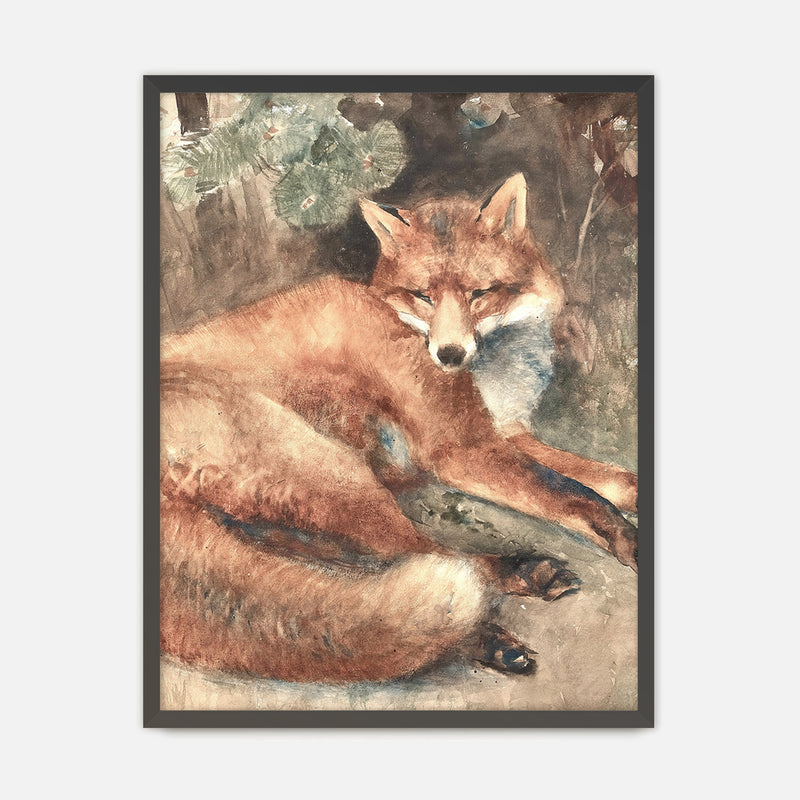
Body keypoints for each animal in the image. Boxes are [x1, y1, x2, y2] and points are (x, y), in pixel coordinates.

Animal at [160, 173, 638, 683]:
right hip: (334, 470)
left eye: (479, 293)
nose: (448, 354)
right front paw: (629, 541)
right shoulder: (463, 450)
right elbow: (579, 497)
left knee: (360, 563)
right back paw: (508, 599)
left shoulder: (505, 434)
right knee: (432, 556)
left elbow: (610, 483)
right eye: (423, 295)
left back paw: (491, 629)